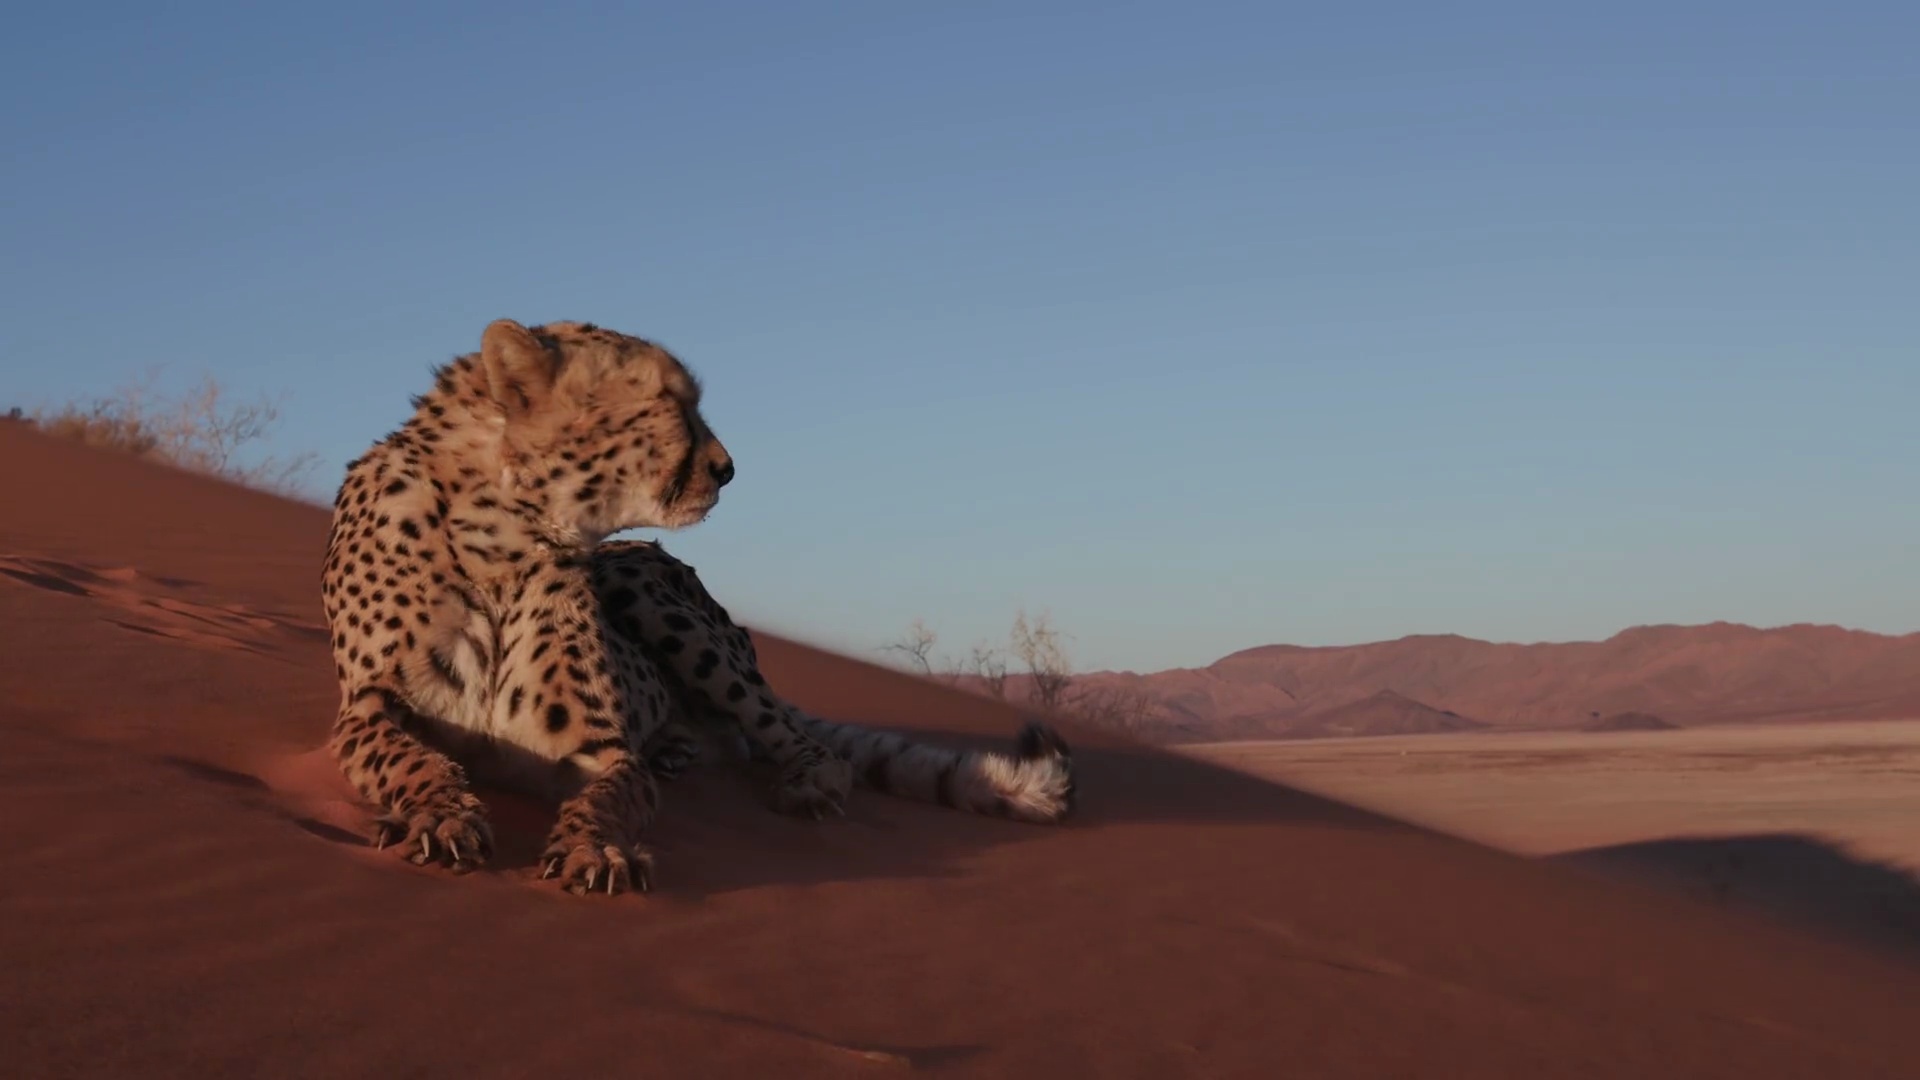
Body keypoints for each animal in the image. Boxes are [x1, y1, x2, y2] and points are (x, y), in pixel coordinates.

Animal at [326, 317, 1082, 891]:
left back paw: (803, 783)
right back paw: (677, 745)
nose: (728, 469)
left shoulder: (601, 752)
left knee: (805, 742)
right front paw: (440, 816)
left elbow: (611, 795)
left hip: (651, 590)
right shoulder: (366, 708)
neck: (508, 537)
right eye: (670, 400)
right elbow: (413, 760)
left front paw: (595, 848)